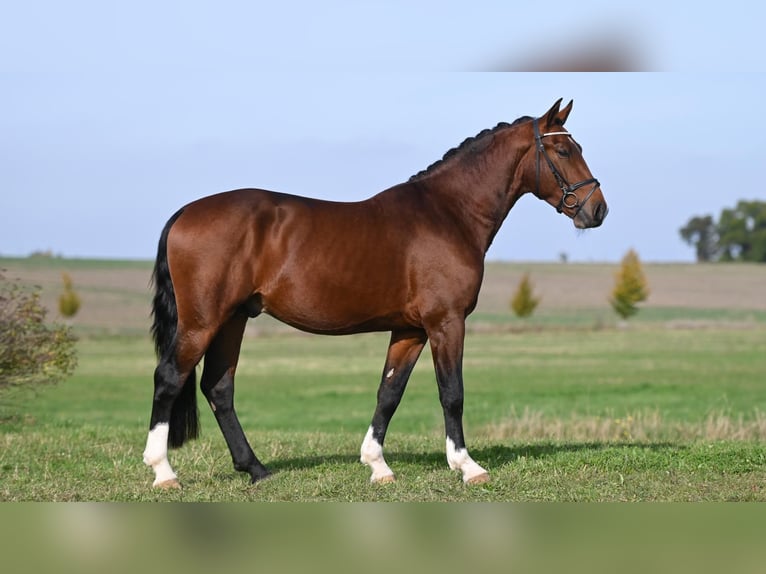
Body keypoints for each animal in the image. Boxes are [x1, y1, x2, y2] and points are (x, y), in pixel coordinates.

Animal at [144, 99, 608, 490]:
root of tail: (185, 212)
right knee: (169, 378)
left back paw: (256, 469)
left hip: (234, 319)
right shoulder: (446, 322)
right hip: (203, 321)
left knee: (219, 387)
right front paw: (467, 466)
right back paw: (164, 472)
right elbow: (452, 392)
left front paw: (377, 465)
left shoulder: (410, 331)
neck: (448, 214)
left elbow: (389, 393)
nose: (597, 209)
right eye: (563, 150)